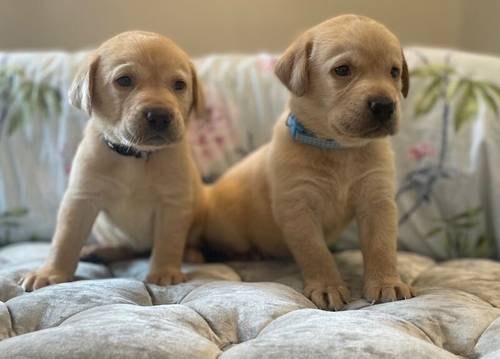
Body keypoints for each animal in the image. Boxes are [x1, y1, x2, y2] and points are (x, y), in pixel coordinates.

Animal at [21, 31, 205, 292]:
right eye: (124, 80)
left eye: (179, 85)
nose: (160, 116)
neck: (135, 155)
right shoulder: (81, 197)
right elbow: (65, 239)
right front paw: (50, 272)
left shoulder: (174, 203)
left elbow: (168, 242)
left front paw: (165, 271)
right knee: (126, 248)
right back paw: (98, 251)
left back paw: (190, 253)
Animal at [198, 15, 414, 310]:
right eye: (342, 70)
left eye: (393, 71)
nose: (384, 106)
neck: (339, 148)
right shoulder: (298, 208)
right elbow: (315, 251)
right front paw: (327, 286)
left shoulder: (377, 201)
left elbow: (381, 246)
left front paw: (386, 282)